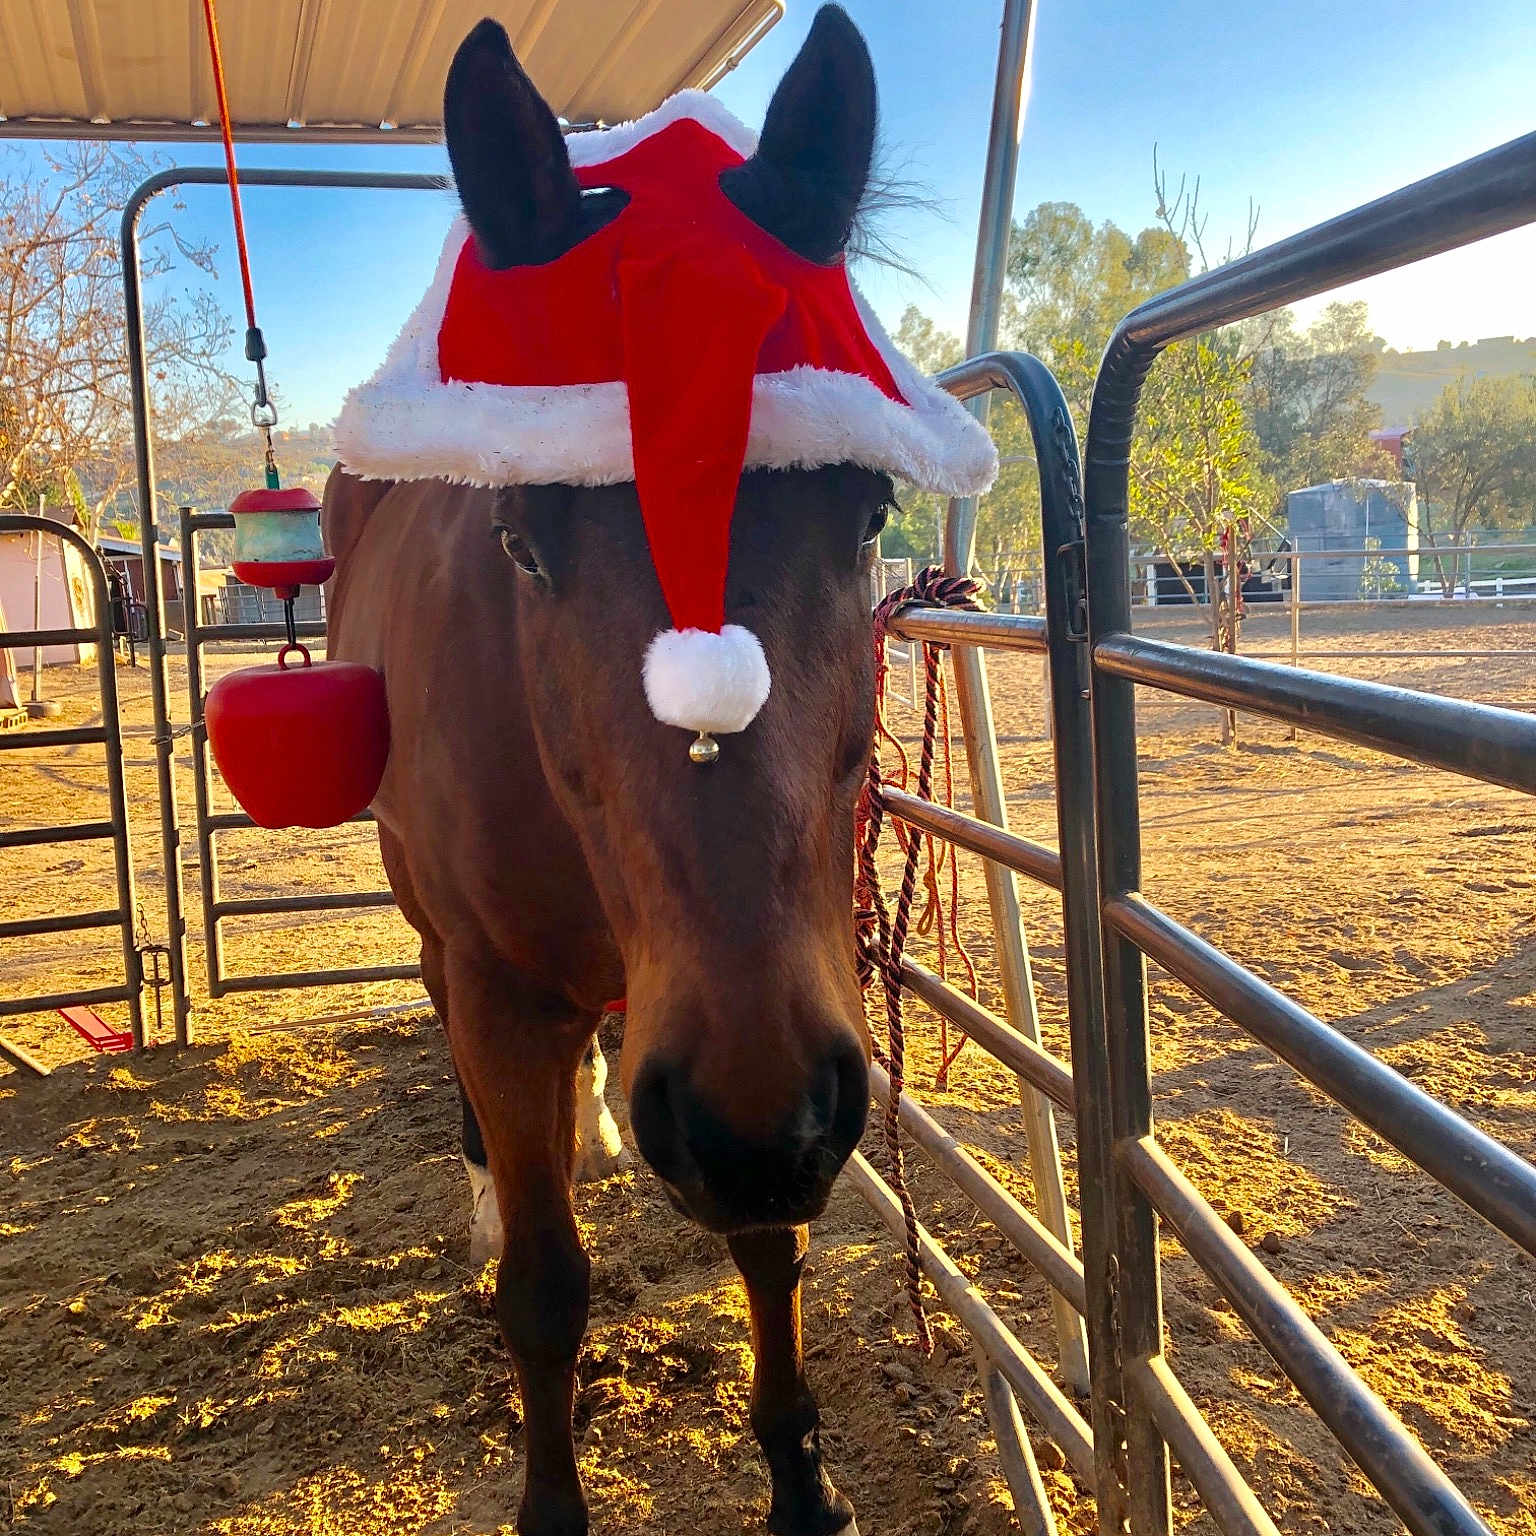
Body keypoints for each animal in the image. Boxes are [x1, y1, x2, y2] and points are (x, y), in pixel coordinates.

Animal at [322, 10, 992, 1533]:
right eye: (520, 540)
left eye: (868, 509)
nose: (747, 1126)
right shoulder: (506, 994)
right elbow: (545, 1287)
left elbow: (770, 1251)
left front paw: (804, 1481)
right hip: (445, 944)